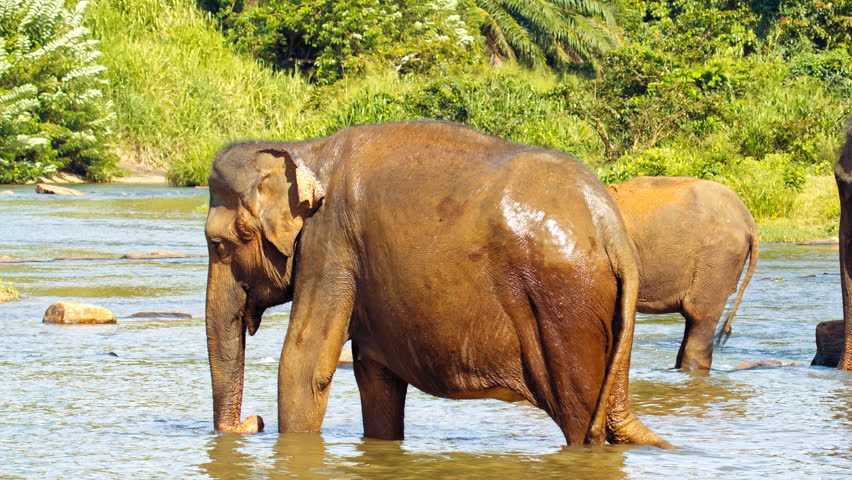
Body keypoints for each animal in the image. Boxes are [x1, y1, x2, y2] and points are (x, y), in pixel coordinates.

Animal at [203, 119, 668, 446]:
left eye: (218, 244)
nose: (253, 422)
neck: (304, 149)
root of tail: (610, 227)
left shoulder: (330, 244)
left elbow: (303, 366)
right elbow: (375, 376)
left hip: (565, 308)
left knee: (580, 418)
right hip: (609, 316)